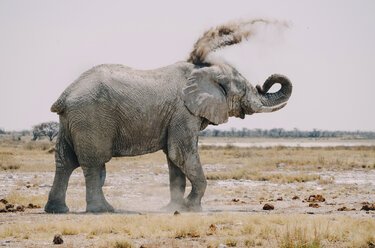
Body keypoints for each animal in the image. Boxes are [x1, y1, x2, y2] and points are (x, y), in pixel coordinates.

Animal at [45, 19, 292, 213]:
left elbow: (174, 160)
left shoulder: (176, 116)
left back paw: (57, 210)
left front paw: (174, 208)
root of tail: (65, 95)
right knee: (94, 164)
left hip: (71, 121)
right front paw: (192, 208)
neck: (205, 71)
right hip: (91, 119)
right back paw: (103, 210)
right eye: (243, 91)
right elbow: (180, 152)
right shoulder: (183, 112)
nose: (263, 84)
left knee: (64, 162)